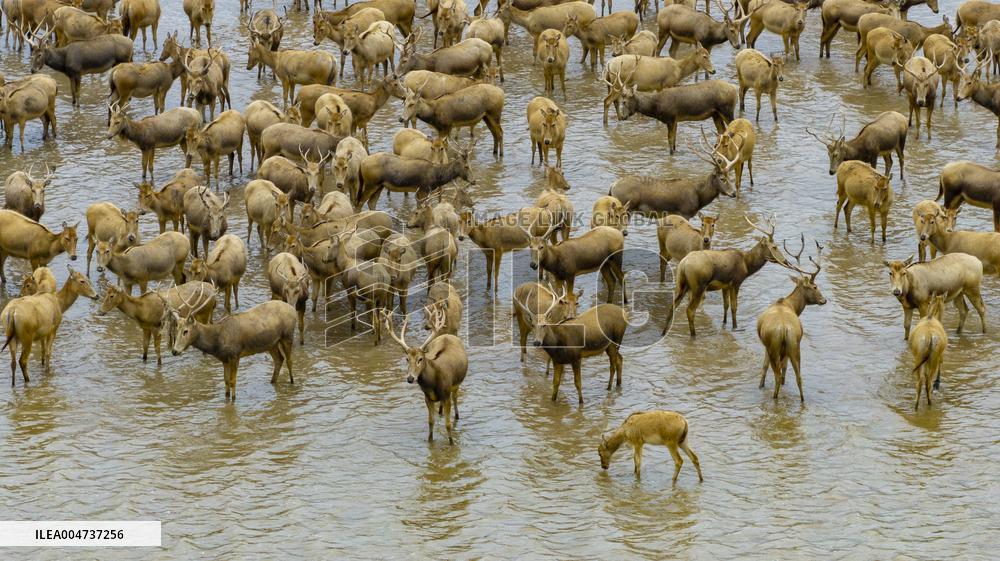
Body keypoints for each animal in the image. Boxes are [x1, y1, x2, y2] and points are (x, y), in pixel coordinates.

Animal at [164, 298, 296, 401]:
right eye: (176, 330)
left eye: (186, 331)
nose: (174, 351)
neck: (217, 342)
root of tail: (293, 309)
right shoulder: (224, 359)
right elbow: (226, 381)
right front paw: (227, 397)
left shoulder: (235, 355)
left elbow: (233, 380)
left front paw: (234, 399)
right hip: (271, 344)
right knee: (279, 359)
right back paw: (272, 382)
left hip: (287, 335)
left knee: (289, 361)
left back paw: (292, 382)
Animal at [383, 310, 468, 444]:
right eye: (407, 359)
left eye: (420, 359)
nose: (410, 378)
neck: (434, 383)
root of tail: (449, 335)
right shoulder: (427, 397)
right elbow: (430, 421)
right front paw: (430, 441)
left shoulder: (446, 394)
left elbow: (448, 424)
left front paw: (451, 443)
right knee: (441, 408)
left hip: (456, 384)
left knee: (455, 398)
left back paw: (457, 416)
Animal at [756, 238, 827, 401]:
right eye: (815, 287)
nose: (824, 300)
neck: (790, 305)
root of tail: (783, 329)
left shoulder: (766, 346)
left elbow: (764, 368)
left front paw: (761, 386)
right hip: (794, 345)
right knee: (798, 376)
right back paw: (801, 399)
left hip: (775, 347)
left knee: (778, 374)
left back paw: (775, 397)